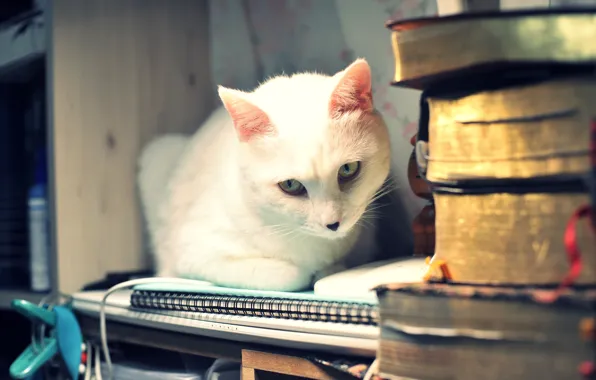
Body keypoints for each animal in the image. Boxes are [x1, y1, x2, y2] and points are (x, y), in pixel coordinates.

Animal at [137, 59, 394, 290]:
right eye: (290, 185)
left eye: (348, 169)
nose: (333, 224)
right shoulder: (195, 253)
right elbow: (291, 275)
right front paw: (309, 272)